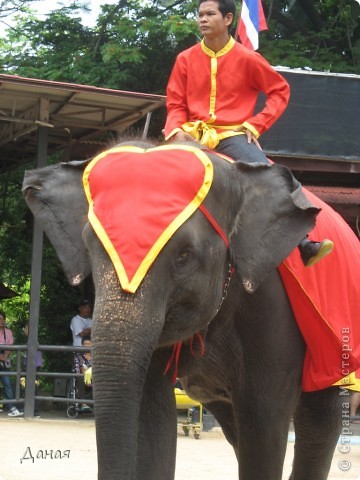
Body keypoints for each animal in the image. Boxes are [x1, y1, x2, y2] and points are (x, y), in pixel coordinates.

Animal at [21, 142, 350, 480]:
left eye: (184, 256)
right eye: (88, 248)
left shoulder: (273, 313)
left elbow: (264, 426)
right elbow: (152, 420)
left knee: (319, 422)